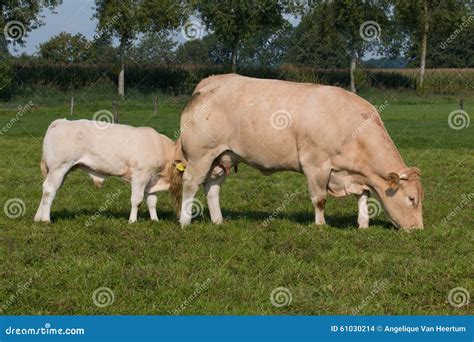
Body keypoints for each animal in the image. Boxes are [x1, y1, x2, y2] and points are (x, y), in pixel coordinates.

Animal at [33, 119, 183, 223]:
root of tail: (61, 122)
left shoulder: (152, 180)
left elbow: (152, 201)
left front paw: (155, 220)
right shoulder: (140, 175)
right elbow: (137, 199)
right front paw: (132, 221)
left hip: (61, 170)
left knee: (46, 188)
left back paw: (38, 218)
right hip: (59, 168)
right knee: (49, 190)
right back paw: (46, 219)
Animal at [178, 75, 426, 230]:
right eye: (411, 198)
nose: (418, 229)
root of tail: (210, 81)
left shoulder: (356, 174)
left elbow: (363, 196)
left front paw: (363, 224)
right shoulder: (316, 165)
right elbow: (320, 199)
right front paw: (320, 225)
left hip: (223, 156)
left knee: (212, 187)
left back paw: (218, 221)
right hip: (201, 154)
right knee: (190, 183)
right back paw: (184, 221)